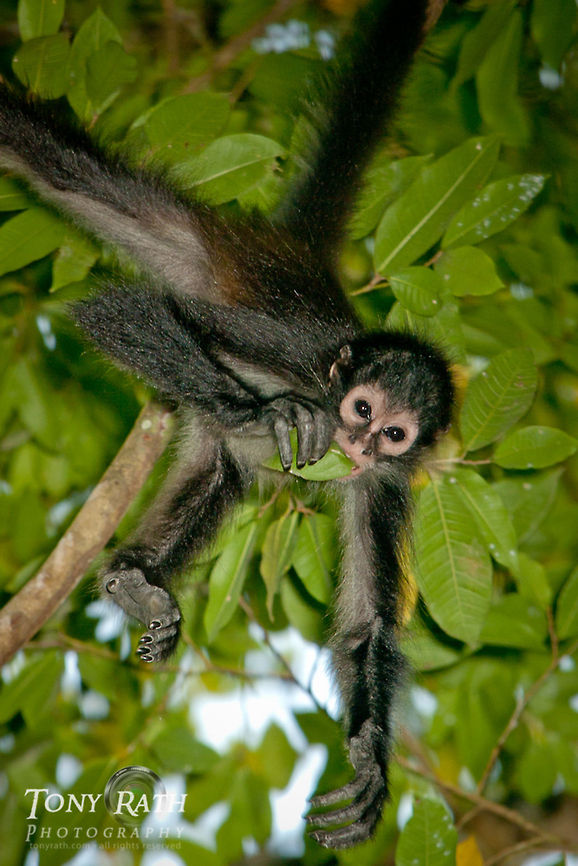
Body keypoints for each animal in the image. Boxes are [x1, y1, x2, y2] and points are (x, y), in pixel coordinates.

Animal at [0, 0, 453, 848]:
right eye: (363, 409)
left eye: (395, 435)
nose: (354, 441)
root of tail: (298, 256)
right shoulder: (304, 359)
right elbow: (125, 306)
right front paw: (271, 412)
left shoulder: (383, 487)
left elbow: (365, 630)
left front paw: (371, 761)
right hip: (195, 246)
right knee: (59, 164)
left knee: (221, 472)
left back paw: (138, 580)